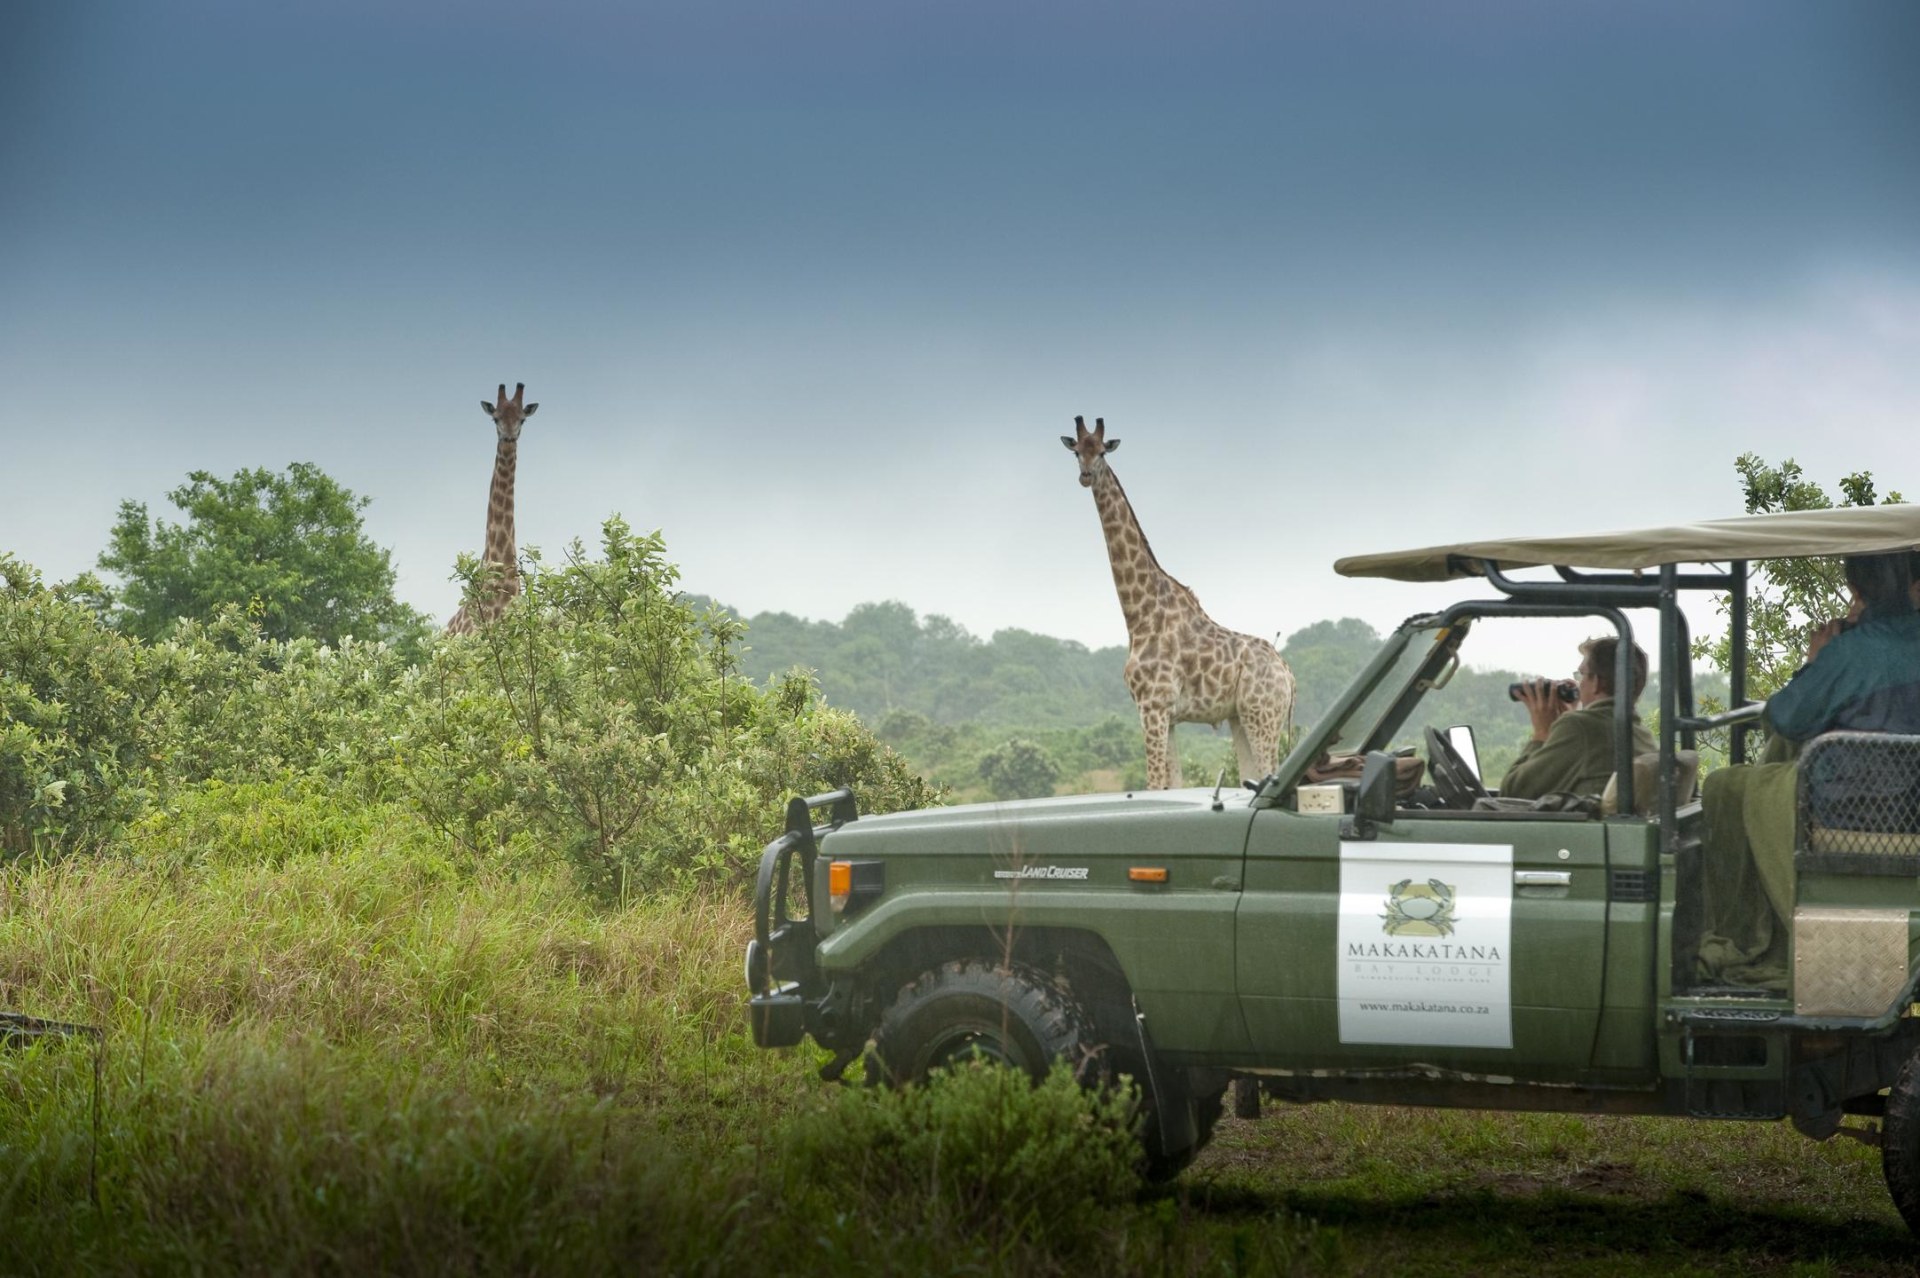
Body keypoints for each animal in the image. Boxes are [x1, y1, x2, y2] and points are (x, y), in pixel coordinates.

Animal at [1067, 416, 1290, 786]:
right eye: (1076, 452)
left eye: (1101, 452)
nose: (1085, 476)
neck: (1139, 613)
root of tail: (1288, 675)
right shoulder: (1163, 714)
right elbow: (1172, 783)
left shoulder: (1153, 706)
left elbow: (1154, 783)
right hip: (1240, 716)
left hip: (1263, 715)